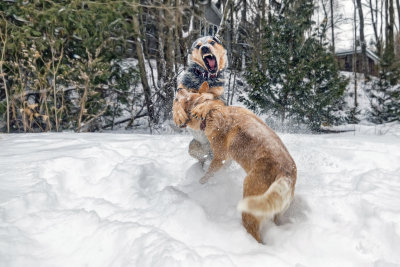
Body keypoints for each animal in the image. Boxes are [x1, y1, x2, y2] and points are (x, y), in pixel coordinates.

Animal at [173, 35, 227, 165]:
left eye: (212, 42)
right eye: (198, 46)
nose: (205, 48)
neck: (204, 77)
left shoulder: (222, 100)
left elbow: (212, 100)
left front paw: (200, 109)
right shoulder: (181, 89)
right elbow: (176, 101)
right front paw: (179, 116)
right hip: (193, 148)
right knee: (202, 158)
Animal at [175, 86, 296, 245]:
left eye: (188, 97)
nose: (179, 88)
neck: (211, 115)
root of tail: (286, 174)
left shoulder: (219, 157)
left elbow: (208, 173)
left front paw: (200, 182)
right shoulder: (227, 158)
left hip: (250, 197)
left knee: (253, 231)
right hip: (277, 209)